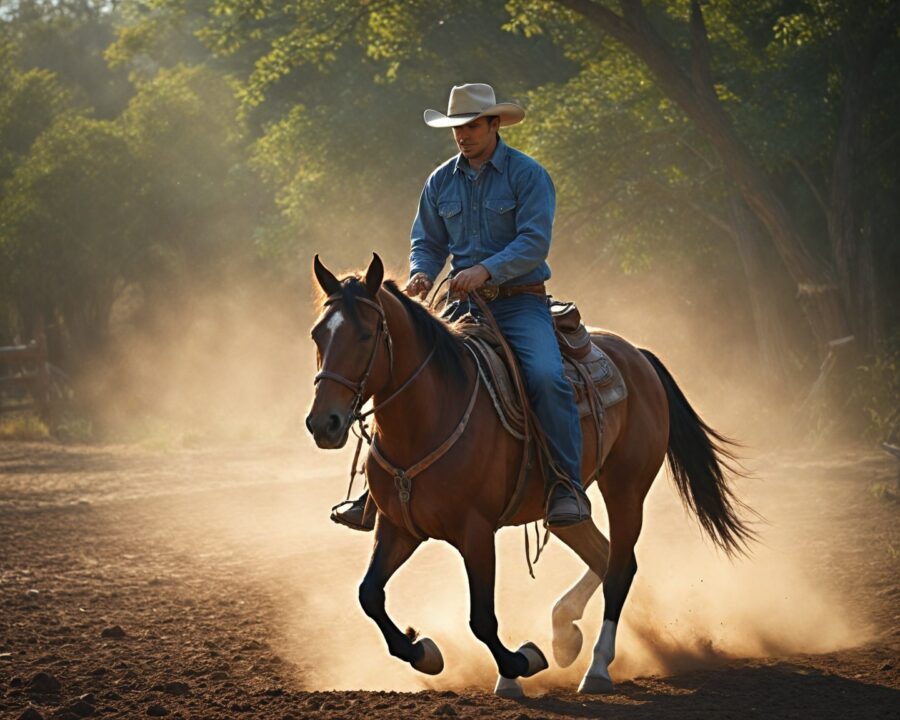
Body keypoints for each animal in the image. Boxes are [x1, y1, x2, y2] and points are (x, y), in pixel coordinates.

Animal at [306, 253, 754, 696]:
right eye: (317, 336)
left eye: (366, 335)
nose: (323, 424)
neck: (430, 417)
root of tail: (636, 355)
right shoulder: (398, 526)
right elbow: (369, 595)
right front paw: (425, 652)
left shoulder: (475, 531)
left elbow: (482, 618)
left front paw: (520, 662)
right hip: (567, 507)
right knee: (603, 553)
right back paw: (564, 632)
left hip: (626, 489)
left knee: (620, 568)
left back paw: (597, 668)